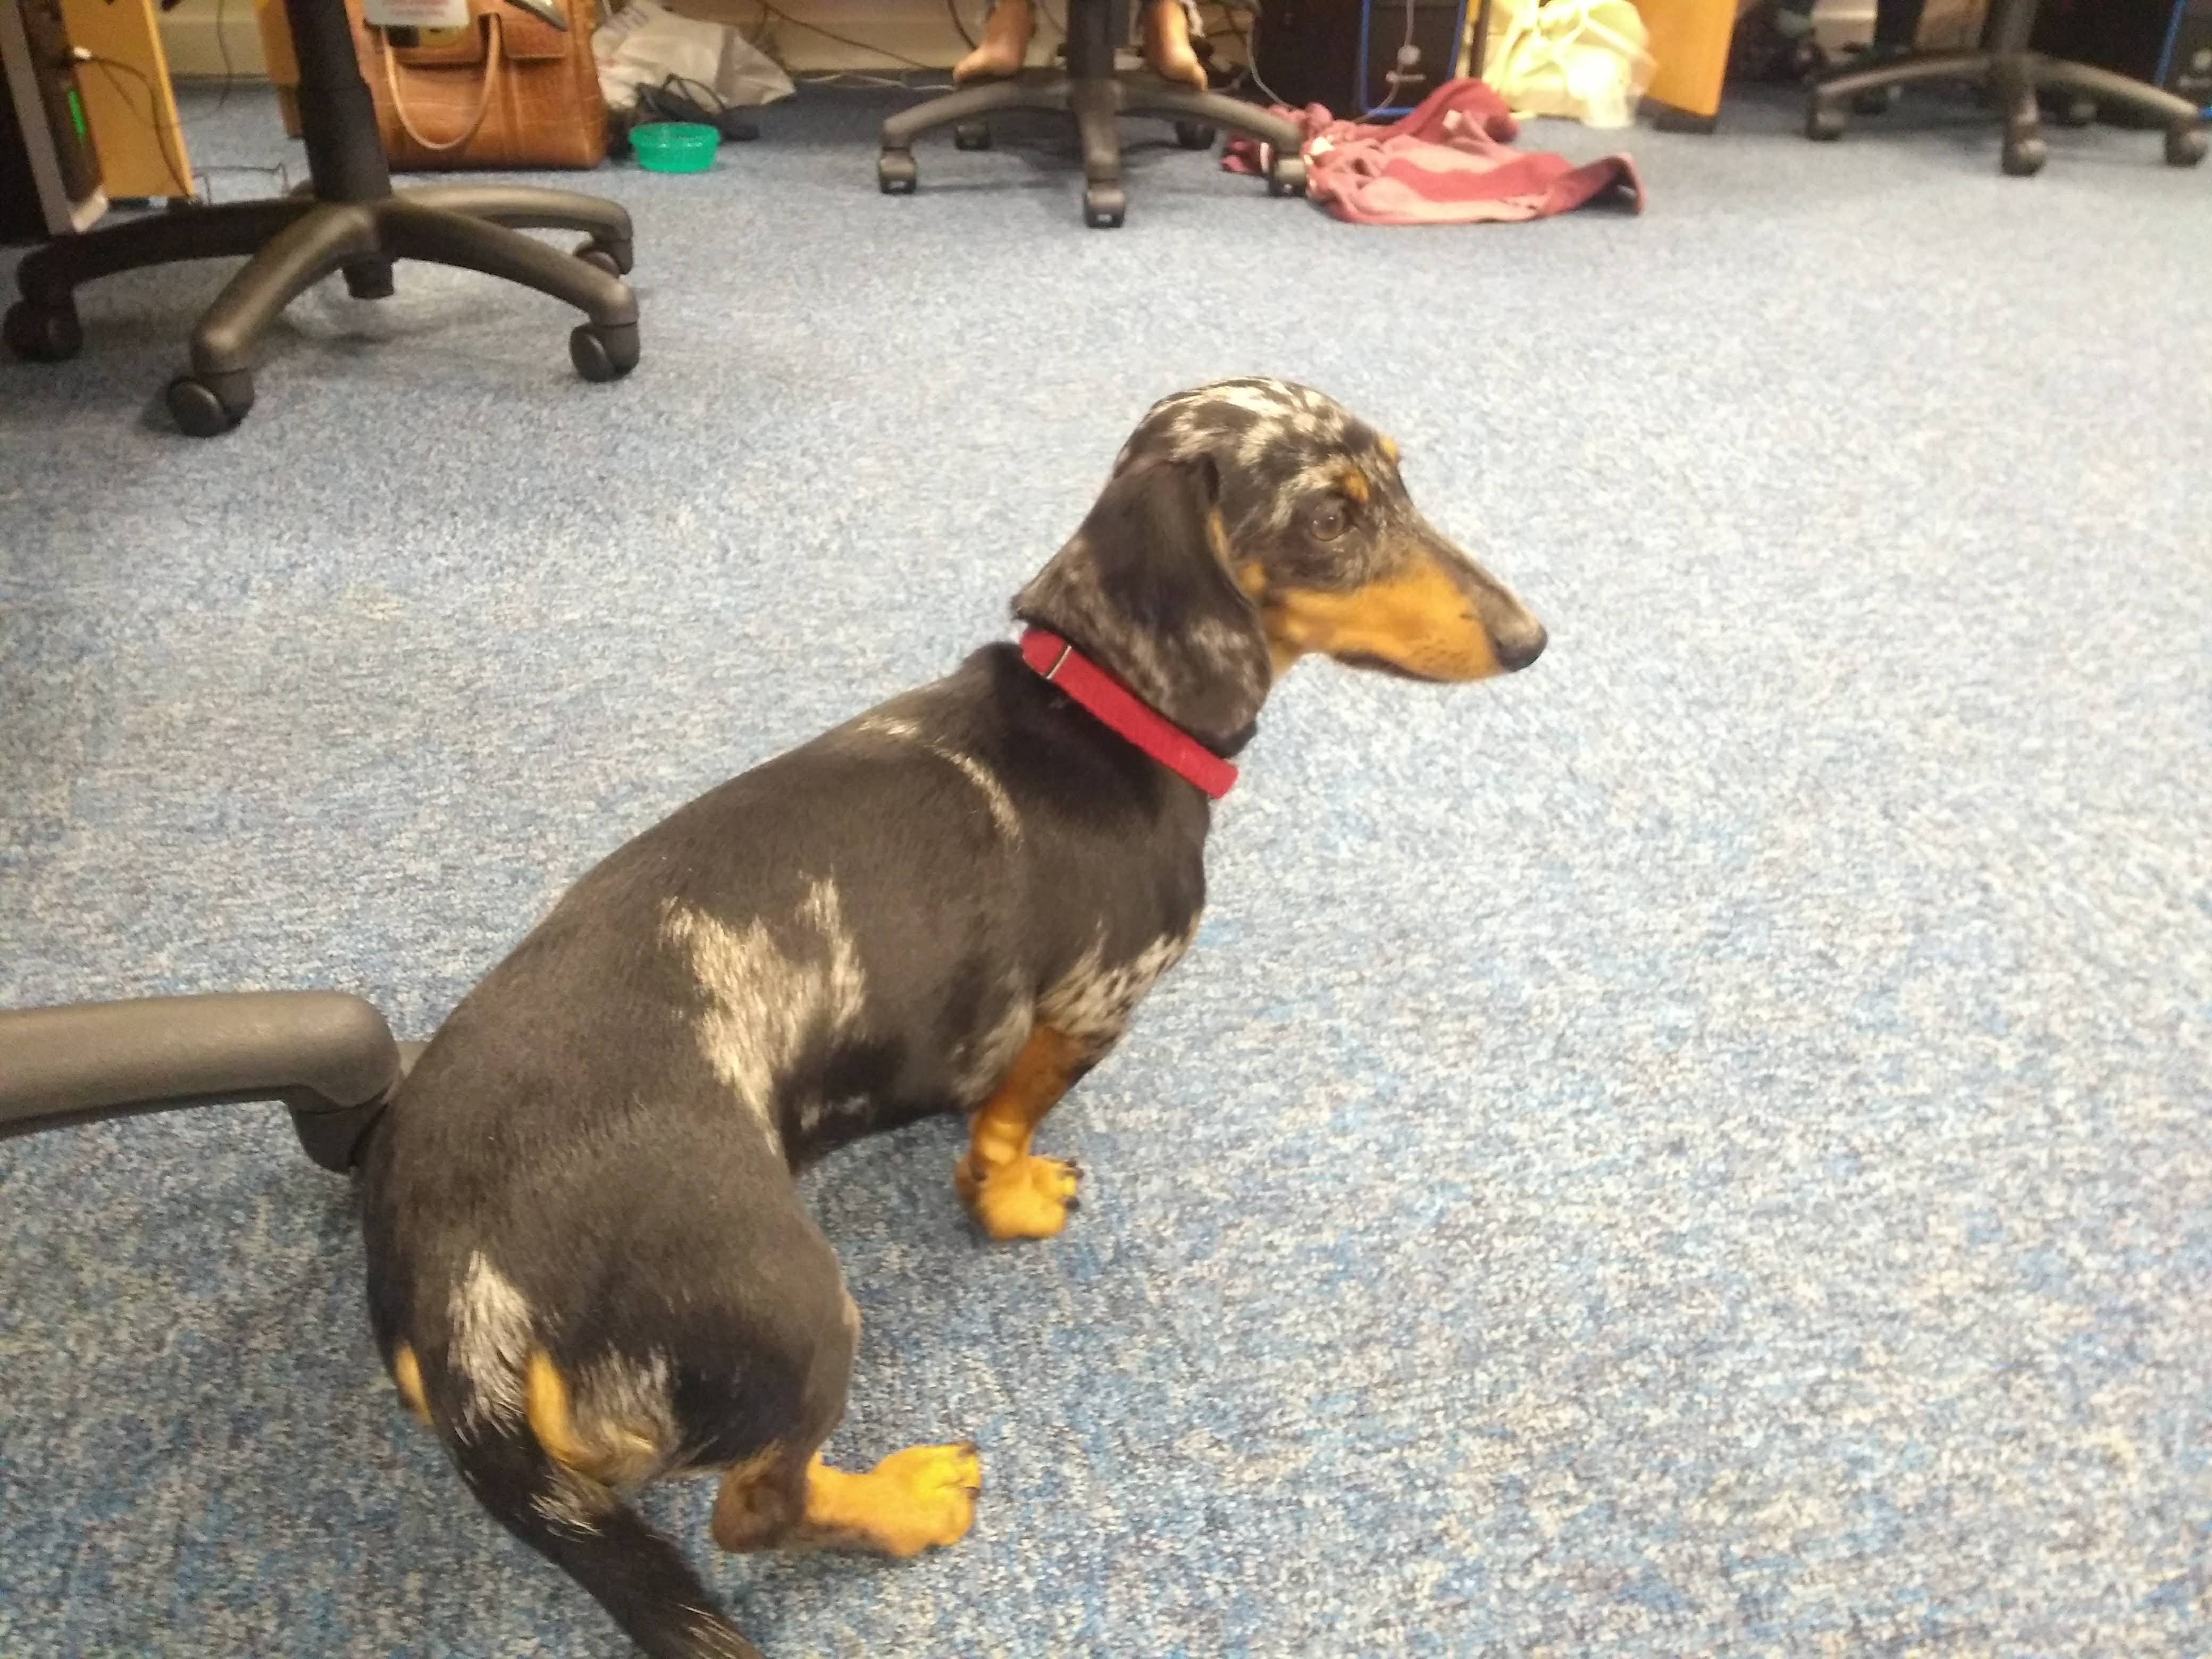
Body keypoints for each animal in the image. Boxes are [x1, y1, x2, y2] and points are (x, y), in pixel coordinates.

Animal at [358, 380, 1539, 1659]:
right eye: (1331, 514)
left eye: (1400, 476)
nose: (1531, 639)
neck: (1107, 713)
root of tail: (465, 1297)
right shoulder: (1093, 1001)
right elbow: (1009, 1118)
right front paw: (1010, 1196)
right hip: (803, 1311)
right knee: (754, 1511)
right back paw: (908, 1502)